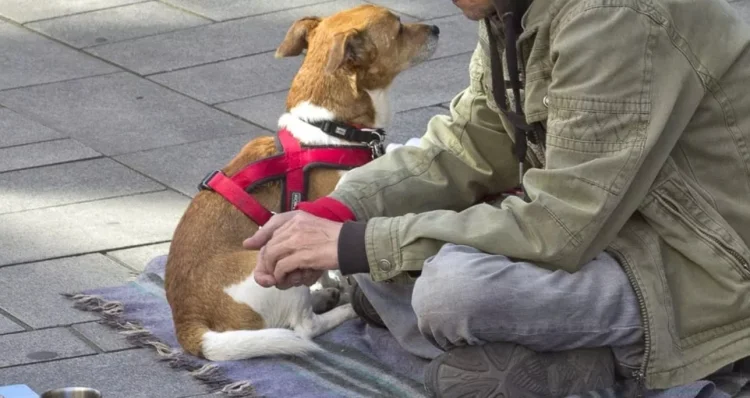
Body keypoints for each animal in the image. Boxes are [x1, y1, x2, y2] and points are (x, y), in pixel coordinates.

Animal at [164, 4, 440, 362]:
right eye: (398, 29)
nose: (437, 28)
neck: (331, 128)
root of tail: (188, 323)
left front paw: (330, 283)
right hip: (272, 264)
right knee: (304, 327)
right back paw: (345, 309)